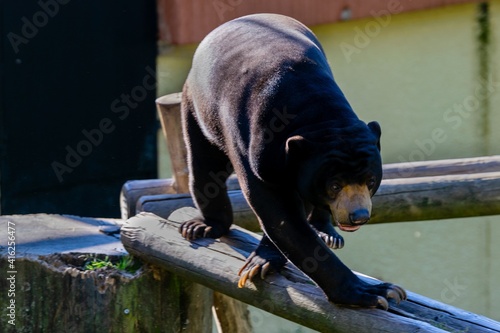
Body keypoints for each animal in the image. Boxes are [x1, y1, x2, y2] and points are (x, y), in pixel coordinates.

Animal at [178, 13, 404, 308]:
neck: (316, 112)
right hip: (196, 107)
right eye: (334, 185)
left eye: (370, 180)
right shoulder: (254, 147)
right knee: (205, 169)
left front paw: (264, 259)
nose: (359, 216)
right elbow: (280, 215)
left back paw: (326, 232)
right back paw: (204, 225)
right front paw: (372, 292)